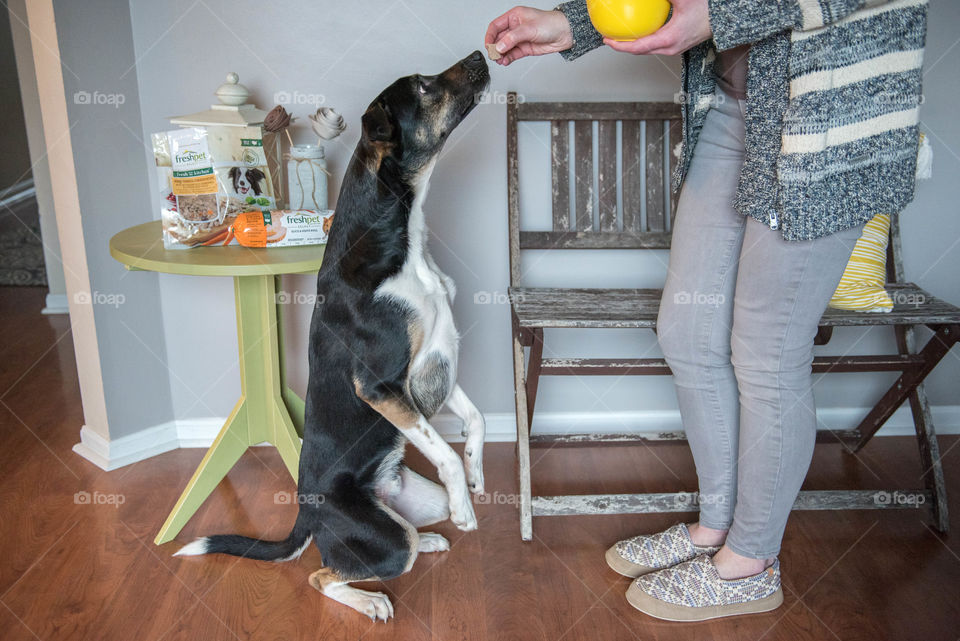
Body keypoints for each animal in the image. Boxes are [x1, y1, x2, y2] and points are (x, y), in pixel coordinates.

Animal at [172, 52, 492, 624]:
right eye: (424, 87)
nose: (481, 54)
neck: (400, 237)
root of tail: (305, 511)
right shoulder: (382, 383)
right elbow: (445, 450)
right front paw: (465, 508)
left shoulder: (431, 364)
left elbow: (474, 422)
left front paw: (476, 479)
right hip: (385, 540)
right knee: (324, 572)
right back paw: (372, 599)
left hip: (411, 500)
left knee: (373, 546)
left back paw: (429, 540)